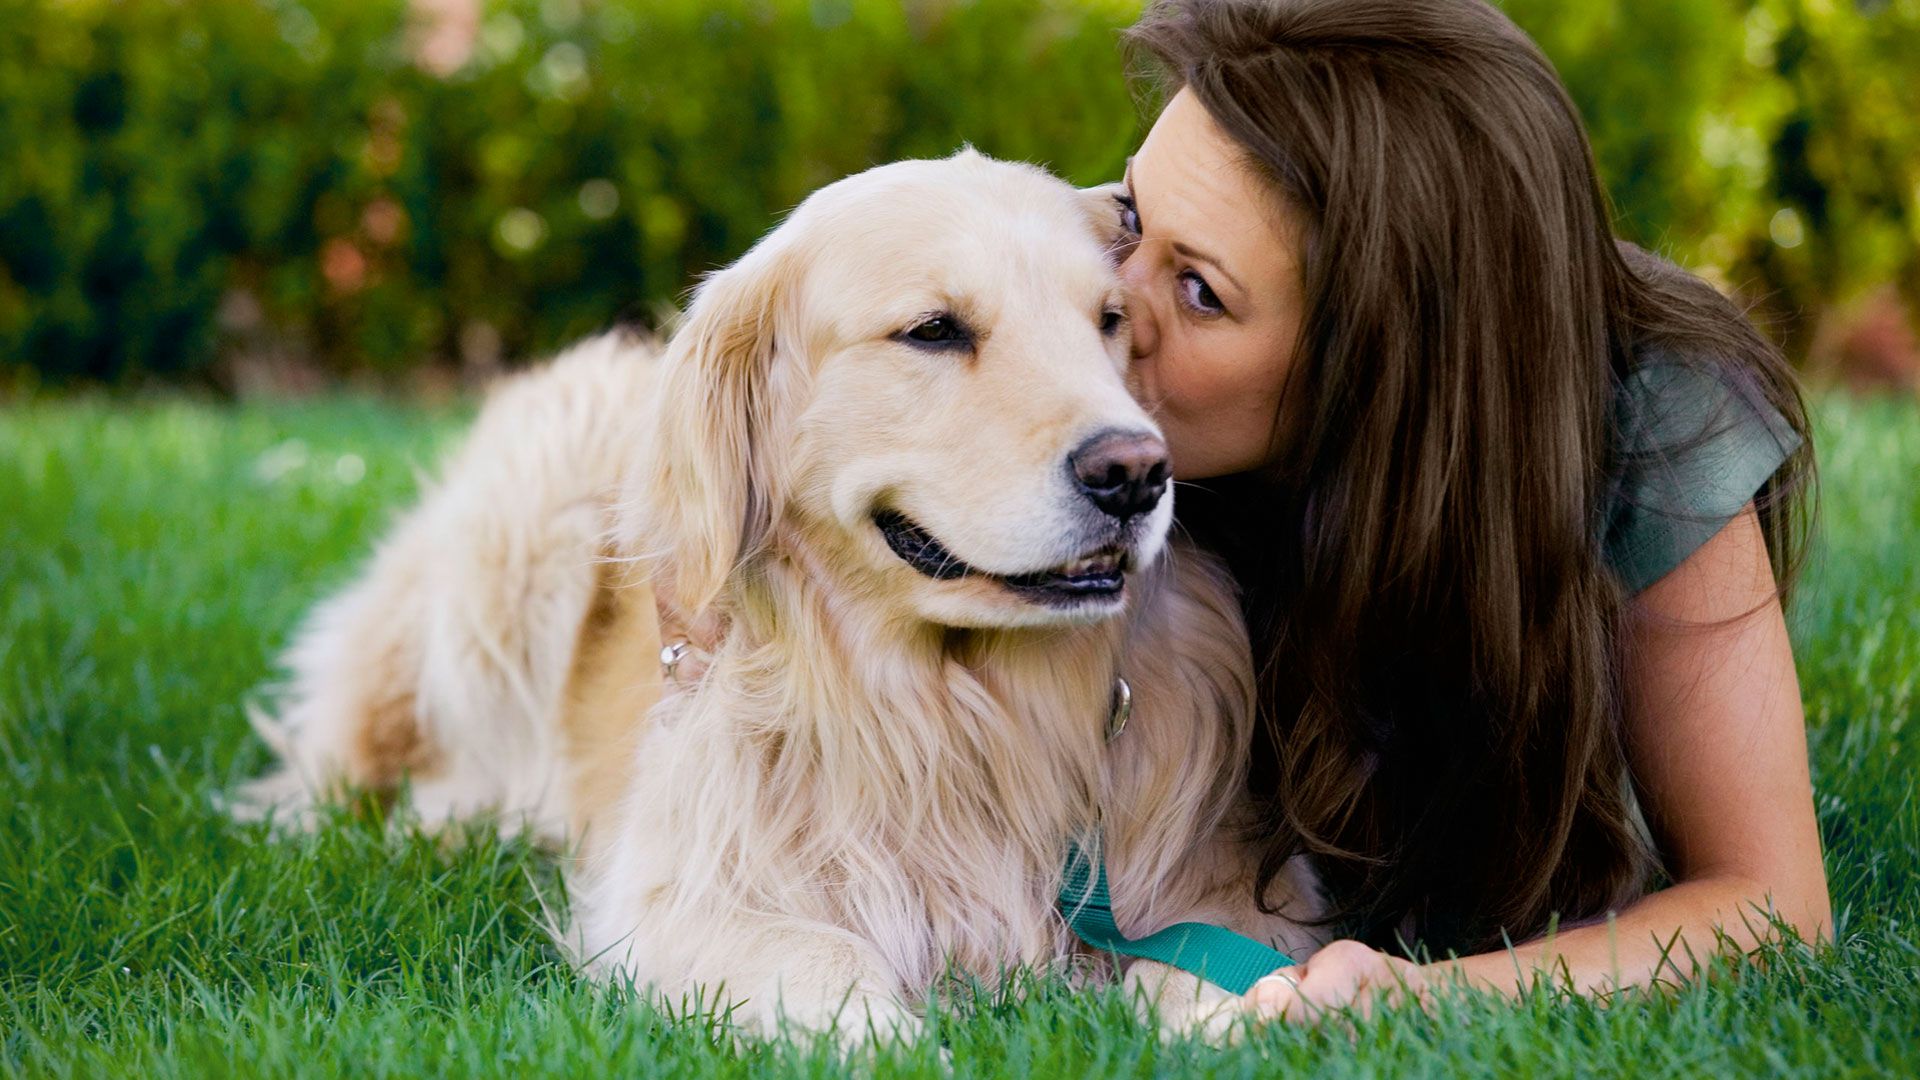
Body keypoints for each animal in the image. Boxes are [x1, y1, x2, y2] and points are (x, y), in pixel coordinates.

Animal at [232, 148, 1328, 1037]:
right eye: (934, 330)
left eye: (1110, 323)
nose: (1135, 474)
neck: (956, 717)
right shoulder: (678, 894)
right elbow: (825, 955)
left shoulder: (1223, 893)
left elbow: (1221, 966)